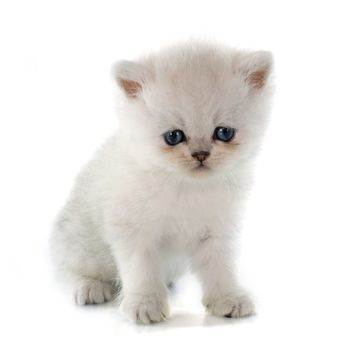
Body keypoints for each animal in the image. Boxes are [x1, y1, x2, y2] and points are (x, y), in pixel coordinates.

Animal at [49, 42, 274, 324]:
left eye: (224, 133)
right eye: (173, 137)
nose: (200, 154)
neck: (186, 186)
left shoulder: (217, 231)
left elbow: (220, 268)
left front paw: (229, 298)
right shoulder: (134, 231)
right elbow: (141, 269)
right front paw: (145, 304)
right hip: (81, 245)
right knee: (66, 270)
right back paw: (90, 287)